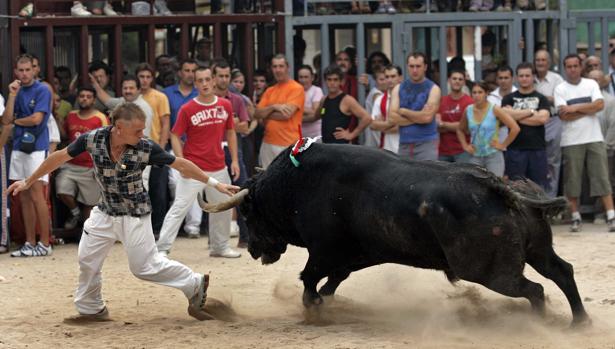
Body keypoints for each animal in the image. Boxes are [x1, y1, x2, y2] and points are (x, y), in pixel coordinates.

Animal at [202, 142, 592, 326]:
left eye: (248, 212)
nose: (254, 249)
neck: (296, 184)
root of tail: (499, 186)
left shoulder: (324, 251)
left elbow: (310, 279)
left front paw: (313, 309)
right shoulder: (353, 256)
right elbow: (331, 281)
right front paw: (327, 303)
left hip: (490, 271)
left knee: (535, 289)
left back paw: (537, 324)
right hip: (537, 250)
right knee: (562, 272)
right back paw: (579, 322)